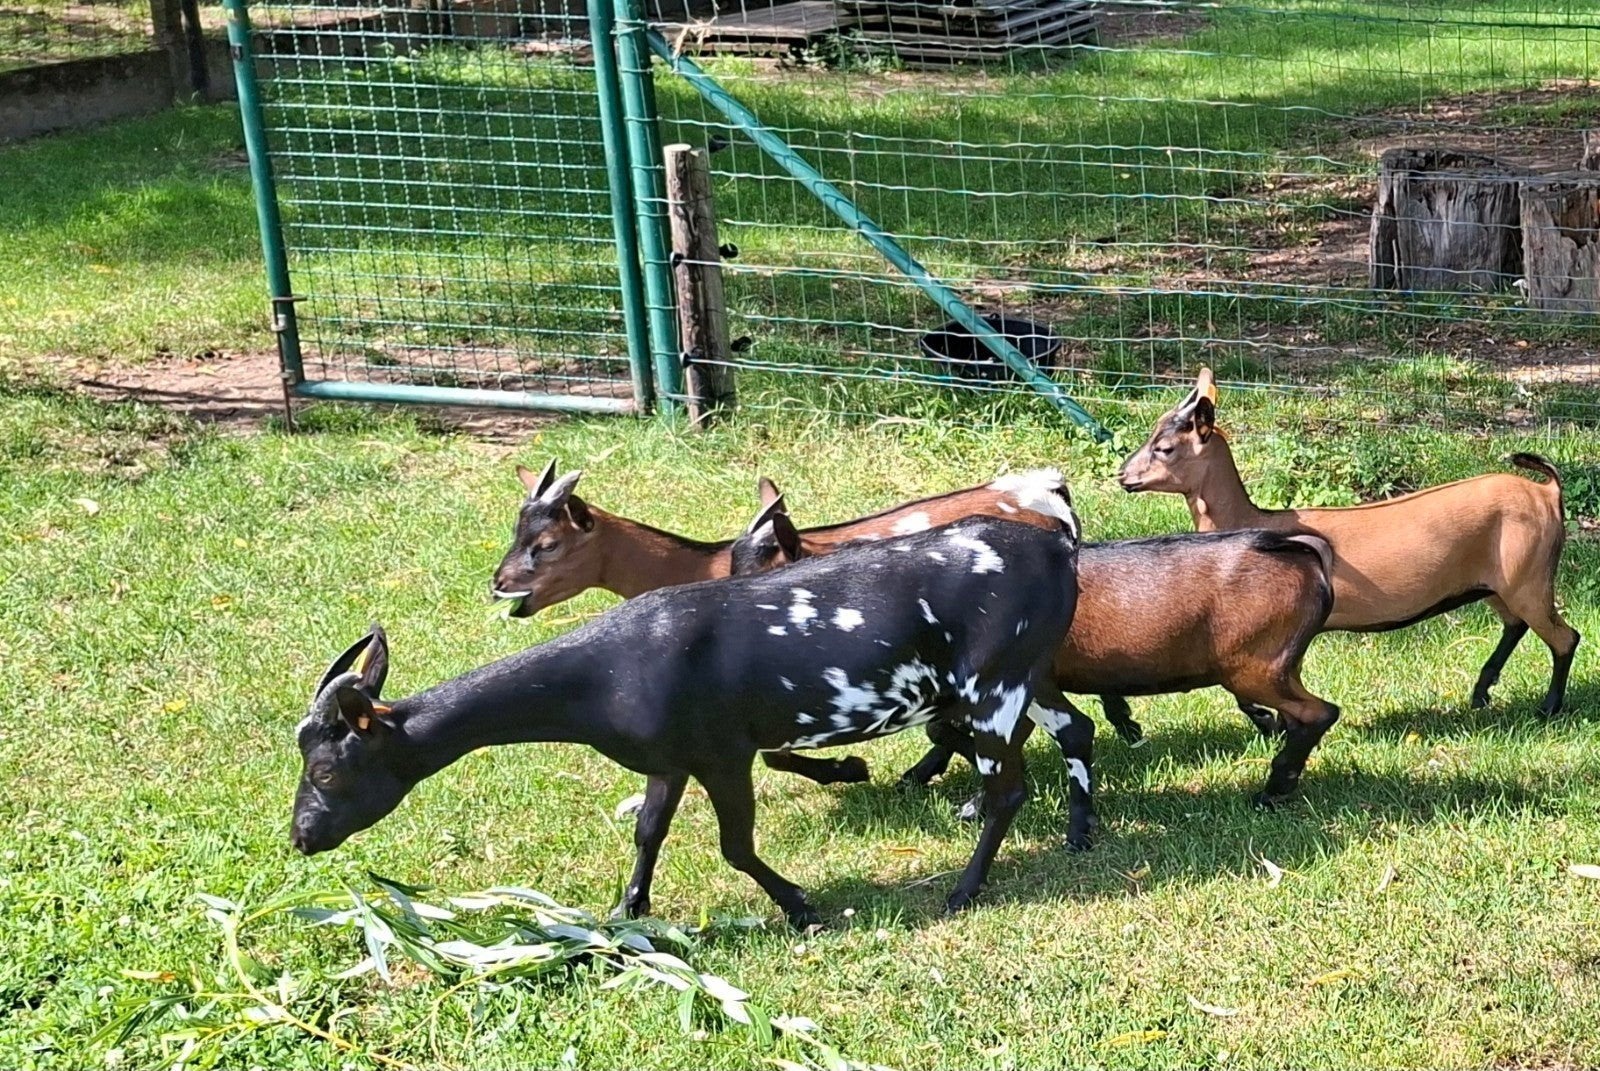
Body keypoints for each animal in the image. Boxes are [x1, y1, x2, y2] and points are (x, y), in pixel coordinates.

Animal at [293, 513, 1087, 927]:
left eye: (328, 769)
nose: (302, 837)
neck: (607, 673)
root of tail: (1057, 547)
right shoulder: (666, 760)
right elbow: (649, 830)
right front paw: (627, 909)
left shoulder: (720, 754)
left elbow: (735, 846)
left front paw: (802, 906)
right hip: (1029, 672)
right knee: (1070, 730)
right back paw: (1075, 832)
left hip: (991, 684)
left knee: (1007, 787)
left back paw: (964, 887)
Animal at [1118, 368, 1579, 716]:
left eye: (1164, 447)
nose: (1124, 476)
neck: (1254, 519)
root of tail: (1548, 493)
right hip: (1497, 584)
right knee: (1516, 624)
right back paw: (1481, 695)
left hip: (1528, 578)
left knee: (1564, 637)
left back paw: (1548, 708)